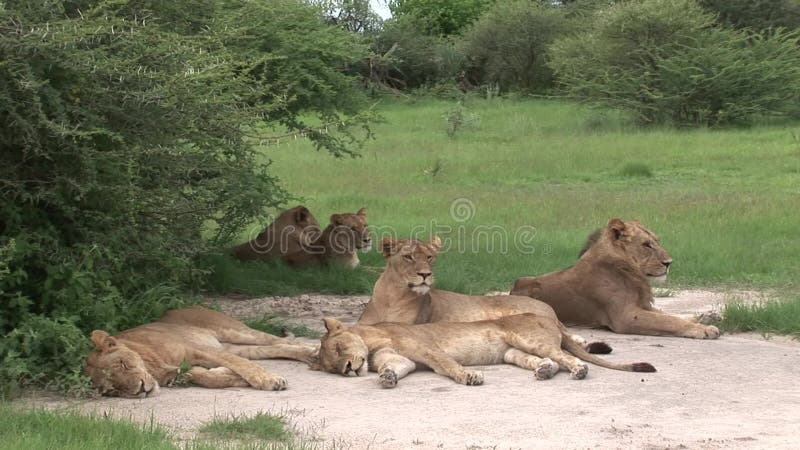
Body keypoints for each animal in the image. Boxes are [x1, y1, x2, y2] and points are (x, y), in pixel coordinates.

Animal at [83, 306, 316, 398]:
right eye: (112, 390)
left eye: (123, 364)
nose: (141, 390)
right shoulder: (184, 369)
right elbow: (208, 377)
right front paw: (228, 376)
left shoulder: (197, 348)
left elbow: (241, 366)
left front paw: (268, 380)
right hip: (236, 346)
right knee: (276, 348)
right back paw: (311, 356)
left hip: (235, 332)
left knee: (279, 340)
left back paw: (315, 351)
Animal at [356, 236, 612, 358]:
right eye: (408, 257)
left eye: (429, 257)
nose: (425, 275)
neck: (393, 295)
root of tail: (546, 306)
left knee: (567, 333)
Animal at [510, 220, 720, 340]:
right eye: (647, 245)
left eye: (657, 241)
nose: (669, 263)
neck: (631, 271)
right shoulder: (625, 316)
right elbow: (668, 321)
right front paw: (703, 329)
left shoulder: (642, 306)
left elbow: (668, 315)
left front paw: (703, 319)